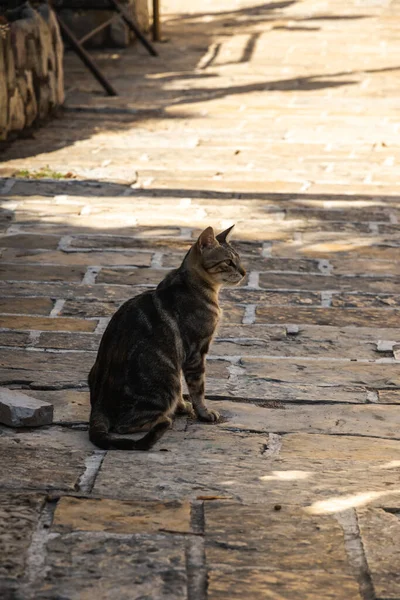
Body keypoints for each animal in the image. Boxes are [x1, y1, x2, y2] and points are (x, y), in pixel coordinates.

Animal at [88, 225, 245, 450]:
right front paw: (204, 413)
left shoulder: (180, 356)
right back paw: (164, 420)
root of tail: (98, 406)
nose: (244, 272)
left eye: (239, 260)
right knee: (124, 426)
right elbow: (198, 390)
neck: (192, 285)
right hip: (164, 383)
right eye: (229, 262)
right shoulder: (196, 352)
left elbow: (183, 390)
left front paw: (182, 406)